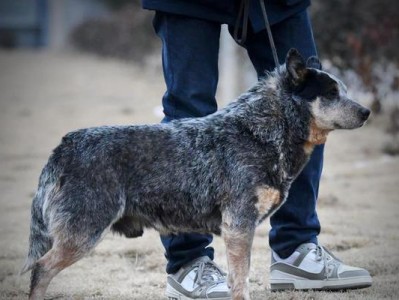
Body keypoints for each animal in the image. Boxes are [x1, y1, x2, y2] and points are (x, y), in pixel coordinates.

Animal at [21, 49, 372, 300]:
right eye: (331, 93)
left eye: (344, 90)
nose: (367, 111)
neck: (260, 132)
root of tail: (64, 146)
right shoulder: (238, 225)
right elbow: (240, 280)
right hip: (83, 232)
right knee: (41, 269)